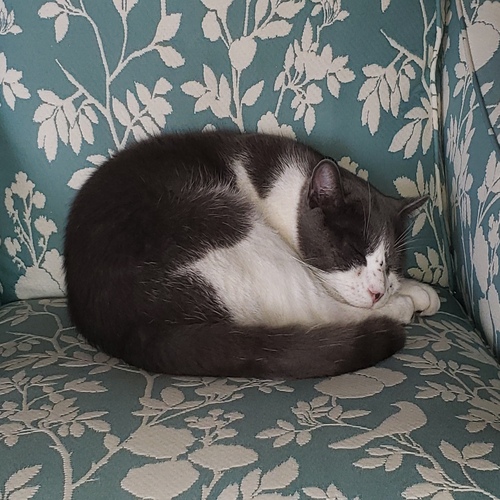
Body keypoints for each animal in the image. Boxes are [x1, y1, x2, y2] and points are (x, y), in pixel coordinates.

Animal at [64, 130, 440, 379]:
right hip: (226, 223)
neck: (290, 188)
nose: (378, 292)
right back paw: (400, 309)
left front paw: (416, 288)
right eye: (353, 252)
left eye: (391, 265)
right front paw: (405, 298)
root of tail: (131, 329)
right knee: (313, 307)